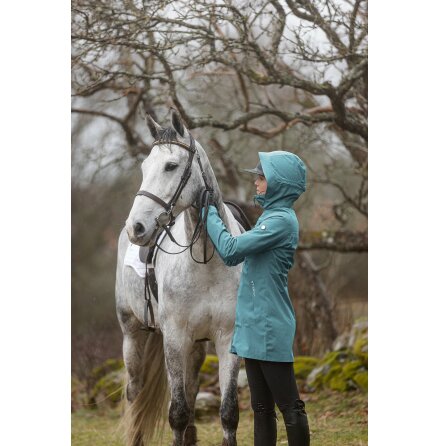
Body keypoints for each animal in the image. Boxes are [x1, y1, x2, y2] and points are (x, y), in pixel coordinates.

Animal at [116, 109, 244, 446]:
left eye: (171, 166)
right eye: (144, 167)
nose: (136, 227)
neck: (207, 262)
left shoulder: (226, 339)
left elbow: (228, 412)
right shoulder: (173, 339)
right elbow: (177, 413)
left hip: (196, 346)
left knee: (191, 387)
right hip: (132, 335)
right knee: (135, 394)